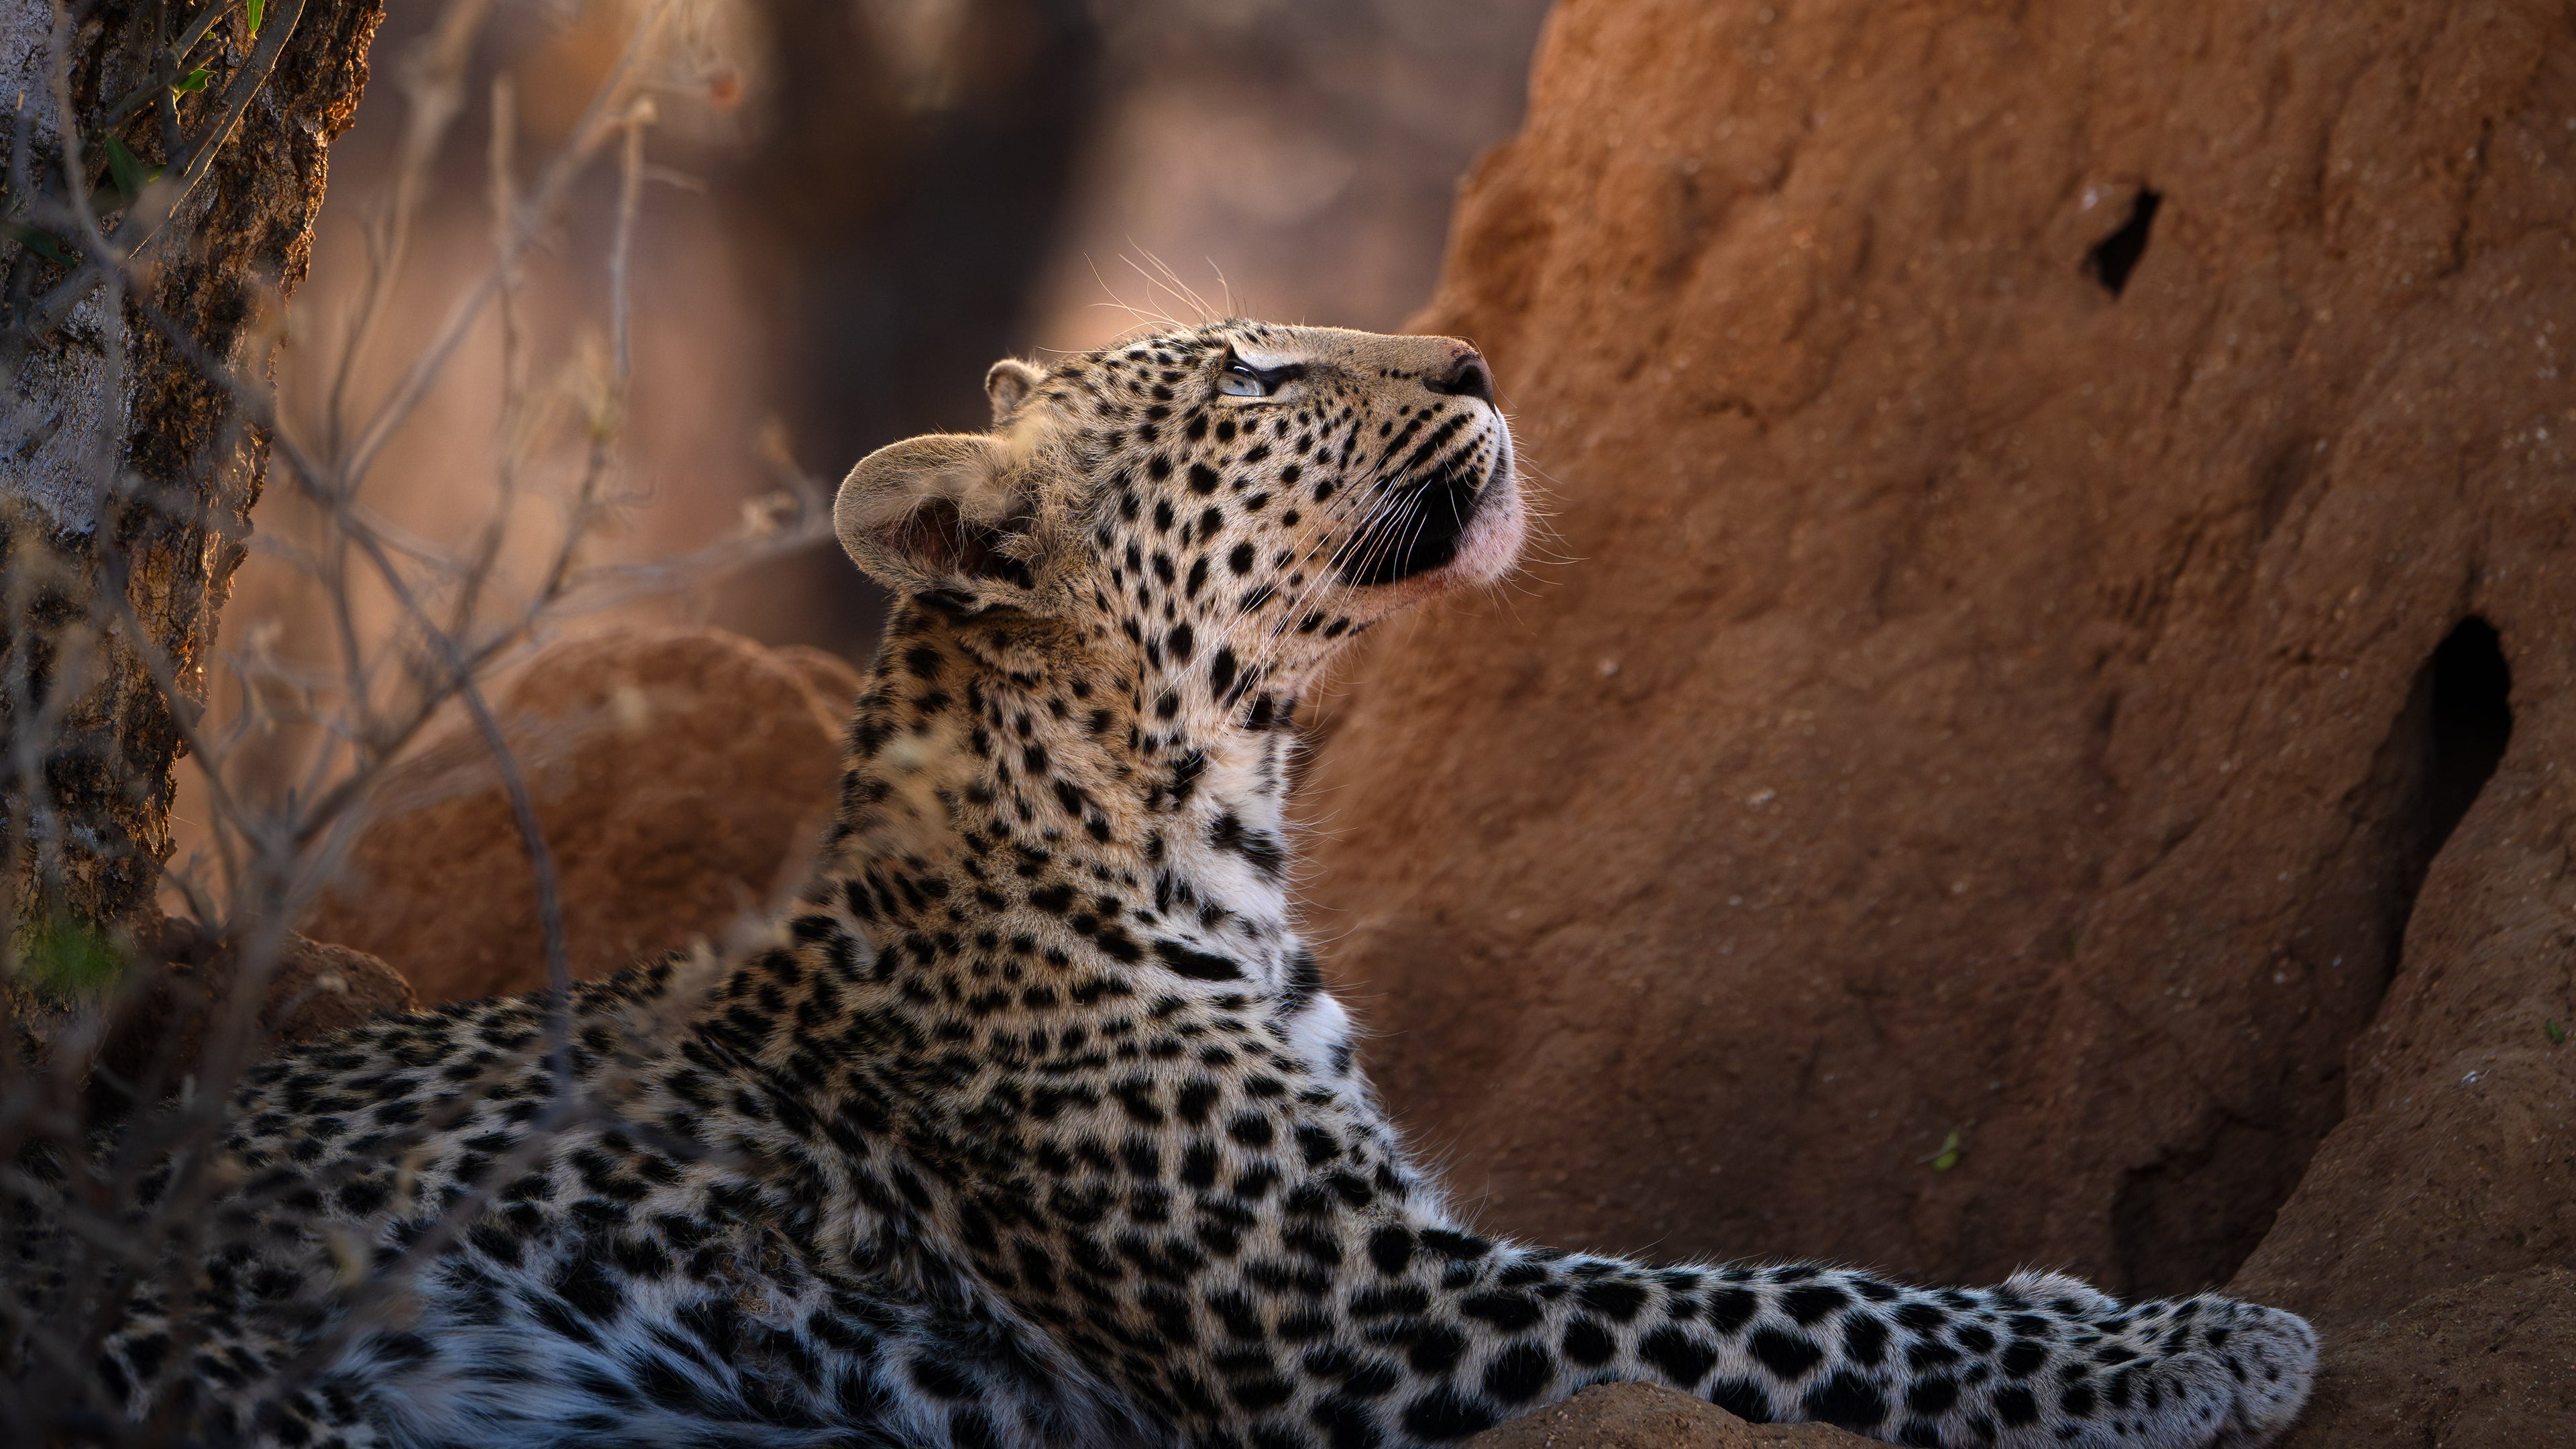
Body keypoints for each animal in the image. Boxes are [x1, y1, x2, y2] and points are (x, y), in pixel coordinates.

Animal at [14, 321, 2318, 1449]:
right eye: (1259, 373)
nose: (1481, 362)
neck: (1211, 823)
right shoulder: (1365, 1316)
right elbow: (1774, 1304)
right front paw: (2184, 1351)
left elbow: (1812, 1286)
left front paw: (2084, 1305)